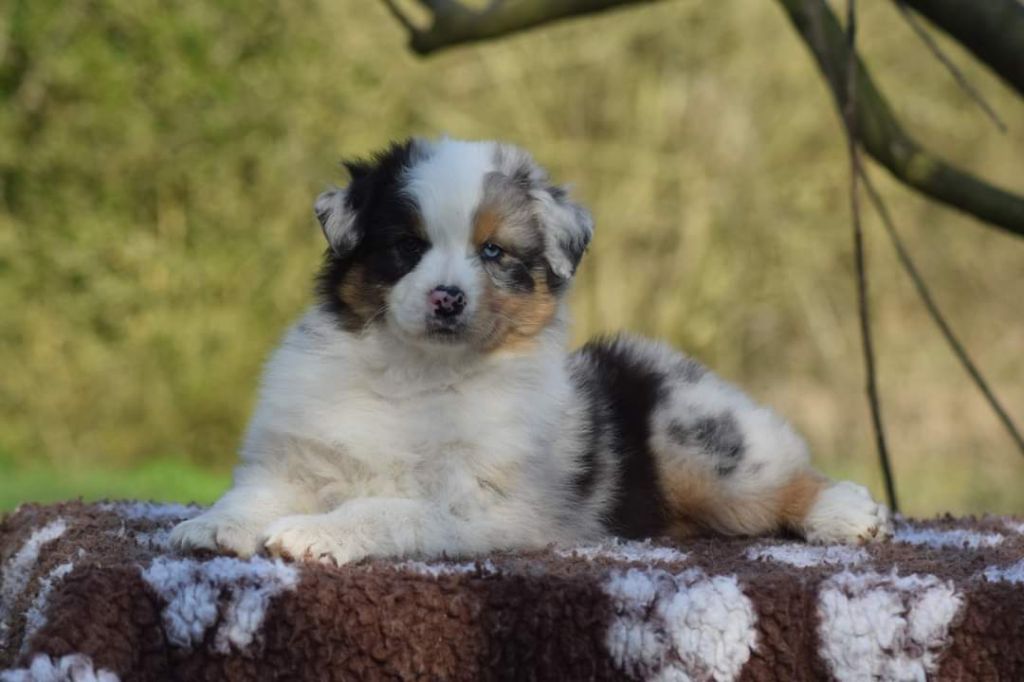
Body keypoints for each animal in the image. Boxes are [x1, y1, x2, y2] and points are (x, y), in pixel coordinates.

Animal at [170, 137, 892, 564]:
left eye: (493, 253)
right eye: (407, 246)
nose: (447, 299)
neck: (416, 373)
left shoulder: (482, 507)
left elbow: (389, 507)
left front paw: (314, 534)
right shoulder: (296, 457)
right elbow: (254, 494)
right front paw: (208, 528)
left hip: (698, 444)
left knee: (780, 479)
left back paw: (847, 513)